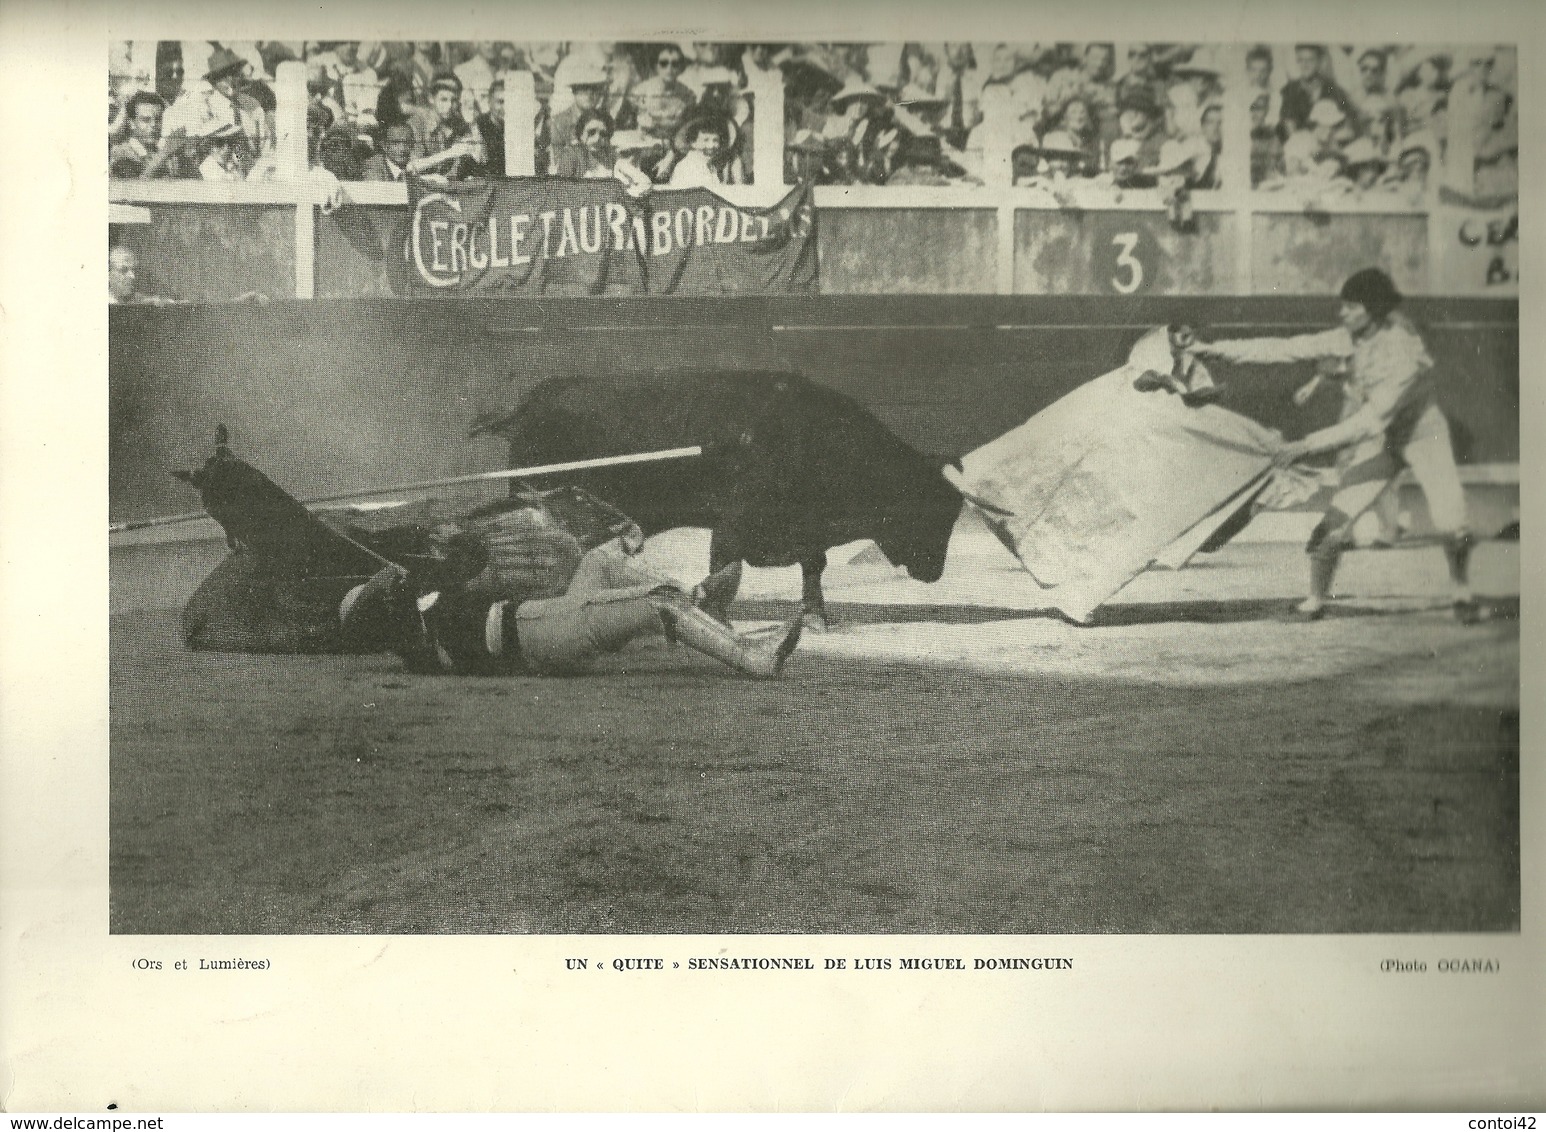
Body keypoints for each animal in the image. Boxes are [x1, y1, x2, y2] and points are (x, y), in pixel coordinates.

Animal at [469, 369, 958, 627]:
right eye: (928, 512)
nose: (935, 573)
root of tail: (532, 402)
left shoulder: (804, 529)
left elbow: (812, 567)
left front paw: (817, 618)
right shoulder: (734, 523)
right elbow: (724, 568)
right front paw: (717, 619)